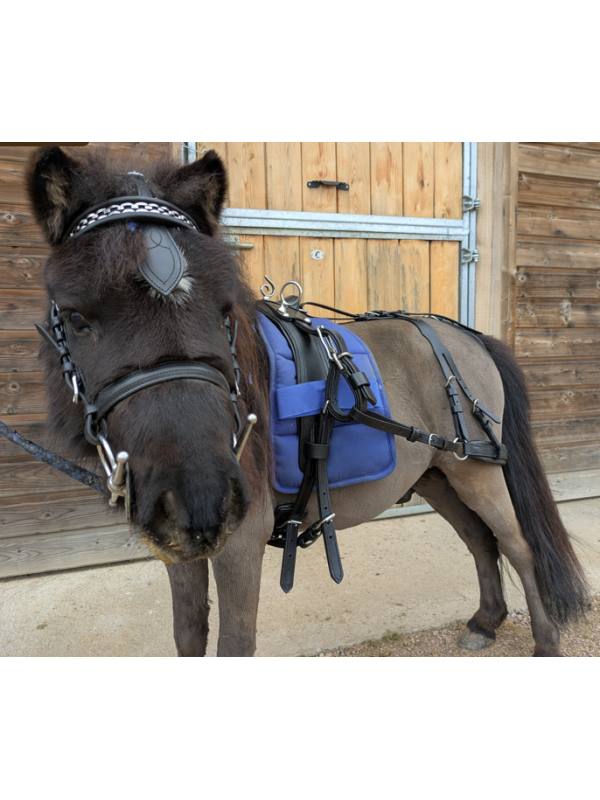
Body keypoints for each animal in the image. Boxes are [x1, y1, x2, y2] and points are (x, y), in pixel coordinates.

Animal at [25, 145, 588, 657]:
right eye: (76, 317)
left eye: (223, 309)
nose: (197, 494)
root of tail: (464, 335)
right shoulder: (178, 548)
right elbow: (188, 635)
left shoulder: (240, 542)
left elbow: (234, 643)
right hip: (438, 474)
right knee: (478, 540)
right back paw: (485, 622)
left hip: (477, 472)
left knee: (517, 546)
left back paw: (545, 643)